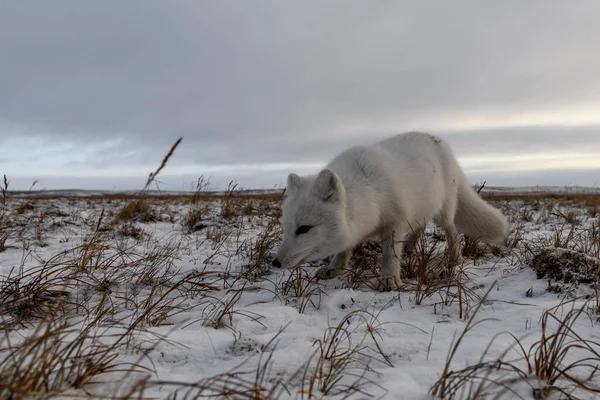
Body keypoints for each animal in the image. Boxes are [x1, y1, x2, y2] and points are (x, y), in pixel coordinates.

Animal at [272, 131, 510, 290]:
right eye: (286, 228)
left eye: (304, 229)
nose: (275, 263)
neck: (370, 192)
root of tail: (441, 142)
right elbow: (343, 249)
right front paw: (335, 268)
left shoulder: (395, 220)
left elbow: (389, 254)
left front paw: (389, 279)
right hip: (421, 208)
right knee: (421, 225)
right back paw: (411, 247)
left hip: (443, 211)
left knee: (452, 231)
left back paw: (454, 258)